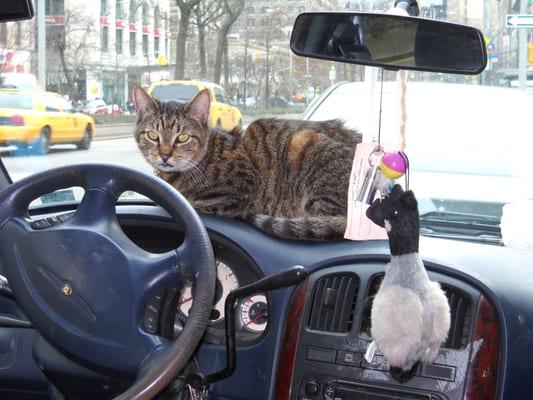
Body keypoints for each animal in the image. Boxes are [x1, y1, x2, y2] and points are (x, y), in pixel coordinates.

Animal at [132, 85, 362, 241]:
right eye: (152, 135)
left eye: (183, 138)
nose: (164, 155)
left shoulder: (240, 188)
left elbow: (194, 202)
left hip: (305, 143)